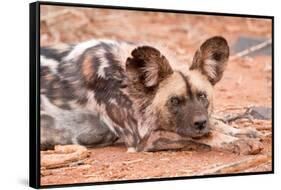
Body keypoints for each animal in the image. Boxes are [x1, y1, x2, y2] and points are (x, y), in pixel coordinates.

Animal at [40, 36, 262, 154]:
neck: (124, 79)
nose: (199, 123)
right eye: (174, 101)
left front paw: (240, 131)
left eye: (202, 96)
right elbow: (205, 135)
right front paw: (233, 141)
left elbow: (214, 123)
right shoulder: (142, 139)